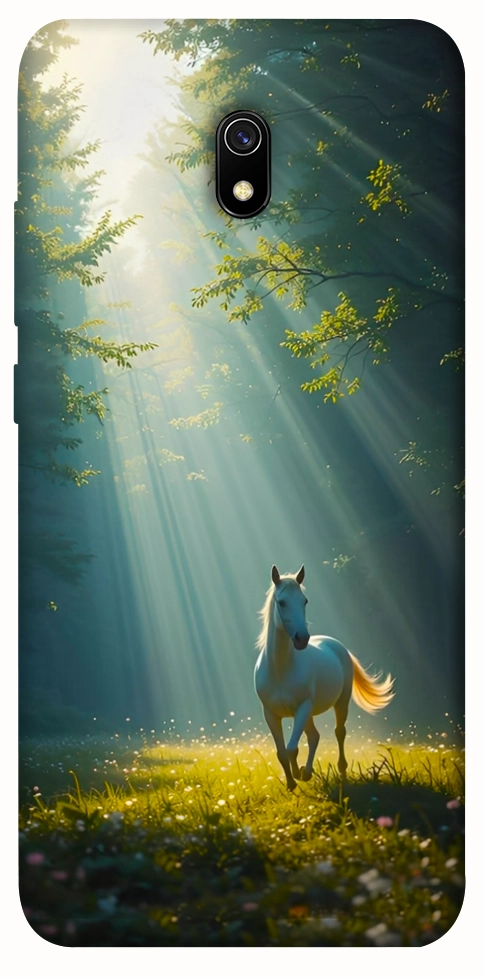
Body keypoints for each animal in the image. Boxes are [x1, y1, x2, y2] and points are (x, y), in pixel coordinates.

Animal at [254, 564, 394, 791]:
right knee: (314, 736)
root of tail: (336, 645)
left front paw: (298, 774)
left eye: (304, 601)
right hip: (308, 714)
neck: (280, 670)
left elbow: (292, 748)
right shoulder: (271, 715)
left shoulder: (302, 708)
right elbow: (282, 752)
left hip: (340, 703)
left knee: (339, 733)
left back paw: (340, 770)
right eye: (282, 602)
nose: (302, 638)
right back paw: (308, 771)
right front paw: (292, 782)